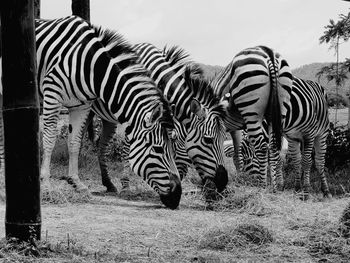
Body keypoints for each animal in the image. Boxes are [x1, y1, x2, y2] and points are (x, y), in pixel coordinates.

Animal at [0, 16, 182, 210]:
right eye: (158, 149)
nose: (177, 197)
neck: (91, 68)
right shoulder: (52, 94)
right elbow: (49, 140)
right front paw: (46, 186)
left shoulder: (82, 105)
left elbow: (74, 142)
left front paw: (77, 184)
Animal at [89, 42, 228, 198]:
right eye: (208, 140)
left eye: (224, 139)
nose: (223, 182)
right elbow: (126, 151)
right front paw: (125, 186)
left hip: (108, 118)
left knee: (101, 145)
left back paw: (108, 183)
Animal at [212, 46, 294, 189]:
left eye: (248, 160)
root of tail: (268, 53)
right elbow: (235, 155)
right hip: (279, 110)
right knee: (274, 147)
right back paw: (276, 186)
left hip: (251, 108)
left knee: (262, 147)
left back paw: (262, 185)